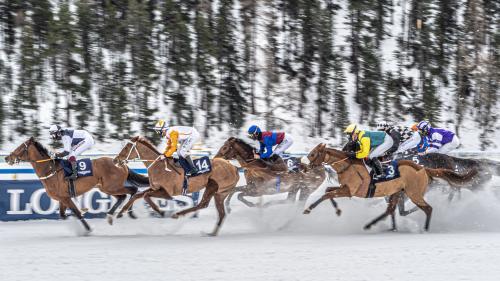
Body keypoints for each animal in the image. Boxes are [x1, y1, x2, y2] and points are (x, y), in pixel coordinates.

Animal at [3, 137, 148, 232]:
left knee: (133, 190)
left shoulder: (66, 198)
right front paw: (82, 212)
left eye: (21, 147)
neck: (50, 170)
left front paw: (88, 228)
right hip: (106, 188)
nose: (7, 157)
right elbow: (63, 215)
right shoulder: (62, 198)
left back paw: (128, 213)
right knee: (122, 196)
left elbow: (76, 213)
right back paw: (113, 215)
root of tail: (121, 163)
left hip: (112, 186)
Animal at [212, 137, 340, 213]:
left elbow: (239, 195)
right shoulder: (251, 186)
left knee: (295, 202)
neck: (254, 165)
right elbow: (234, 190)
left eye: (225, 147)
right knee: (289, 200)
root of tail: (322, 168)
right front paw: (228, 207)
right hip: (294, 188)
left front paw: (252, 204)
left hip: (306, 189)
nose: (215, 158)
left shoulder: (258, 190)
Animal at [300, 143, 476, 231]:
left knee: (428, 208)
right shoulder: (344, 188)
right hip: (398, 192)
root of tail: (423, 169)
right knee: (392, 210)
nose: (303, 167)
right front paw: (336, 210)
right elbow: (328, 191)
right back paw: (374, 225)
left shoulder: (349, 190)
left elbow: (327, 194)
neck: (348, 166)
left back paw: (425, 229)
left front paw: (308, 209)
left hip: (413, 193)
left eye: (313, 154)